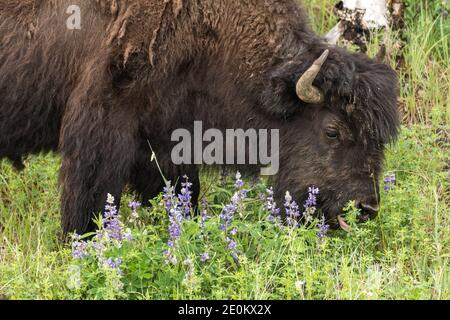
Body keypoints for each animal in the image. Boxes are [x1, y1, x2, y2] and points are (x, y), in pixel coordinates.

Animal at [0, 0, 400, 235]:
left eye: (379, 139)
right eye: (332, 131)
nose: (366, 207)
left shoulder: (166, 139)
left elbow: (182, 193)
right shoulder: (103, 128)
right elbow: (90, 198)